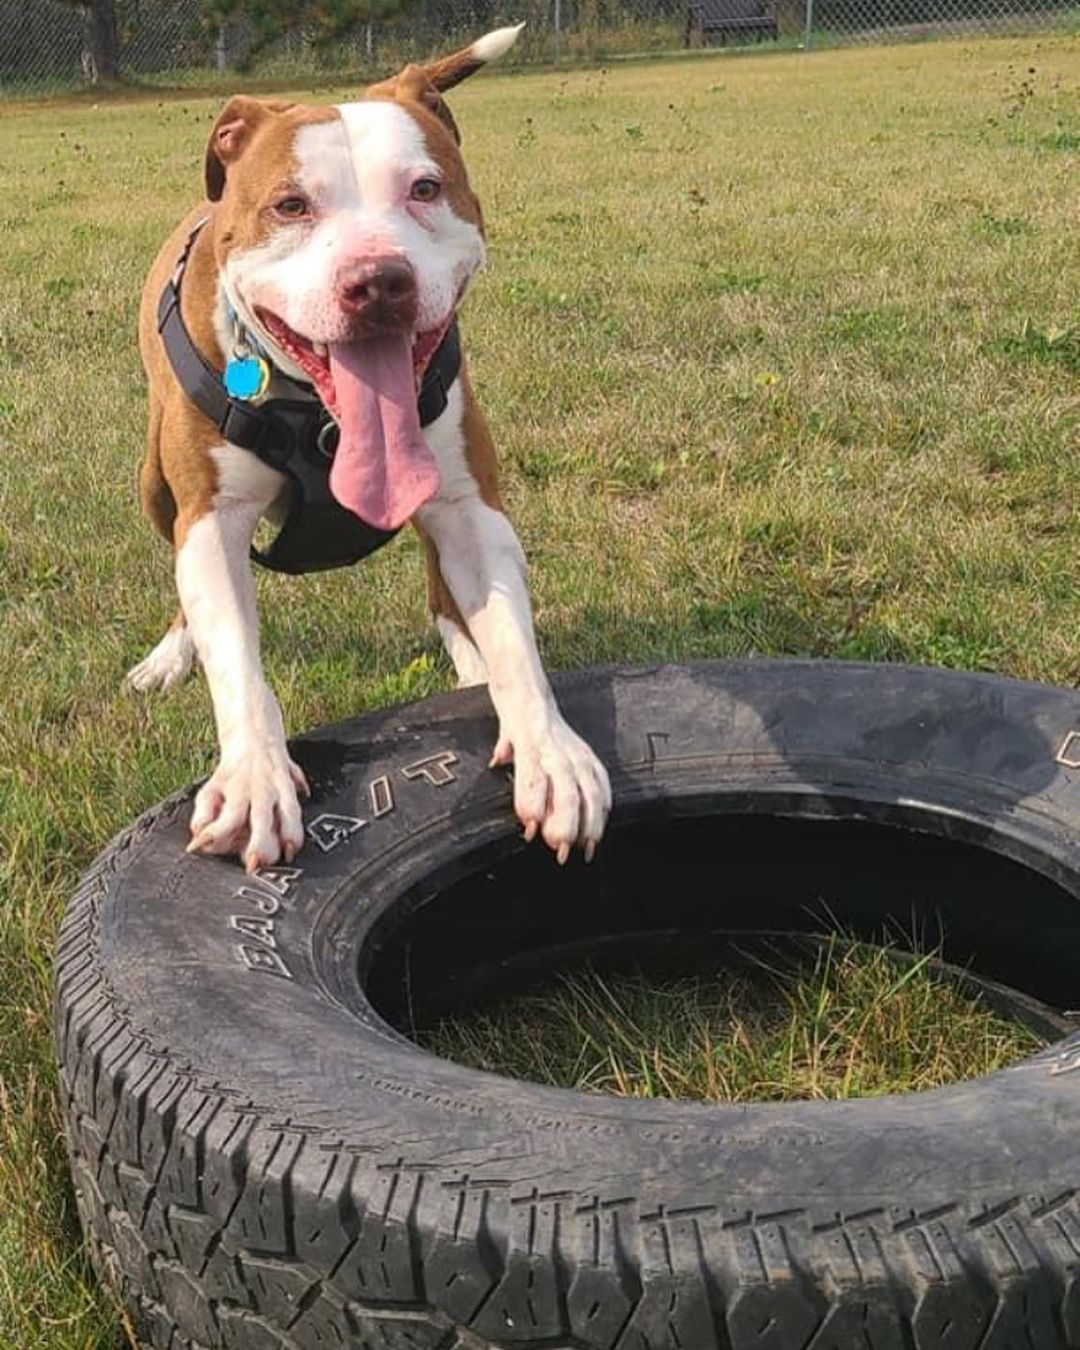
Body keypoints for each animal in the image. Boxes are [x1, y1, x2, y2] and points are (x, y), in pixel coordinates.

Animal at [128, 29, 607, 874]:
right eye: (290, 205)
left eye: (425, 188)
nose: (378, 281)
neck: (320, 416)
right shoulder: (211, 521)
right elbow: (236, 659)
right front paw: (254, 779)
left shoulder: (470, 506)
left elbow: (513, 636)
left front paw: (550, 750)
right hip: (155, 484)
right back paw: (170, 656)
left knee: (446, 589)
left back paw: (471, 666)